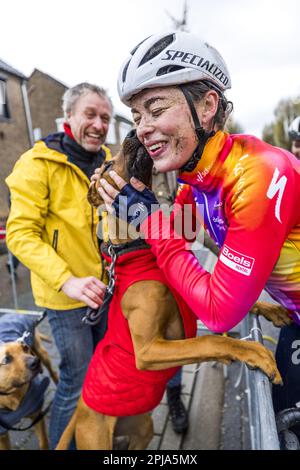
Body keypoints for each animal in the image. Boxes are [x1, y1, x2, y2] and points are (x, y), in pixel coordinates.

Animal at [0, 314, 58, 450]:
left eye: (25, 348)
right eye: (6, 359)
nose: (35, 362)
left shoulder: (36, 415)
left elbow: (44, 442)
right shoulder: (2, 435)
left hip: (42, 354)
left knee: (54, 373)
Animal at [56, 132, 284, 452]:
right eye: (109, 165)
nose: (131, 132)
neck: (140, 250)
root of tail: (78, 412)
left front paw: (274, 310)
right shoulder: (149, 350)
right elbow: (211, 340)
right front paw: (251, 351)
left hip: (143, 428)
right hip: (97, 437)